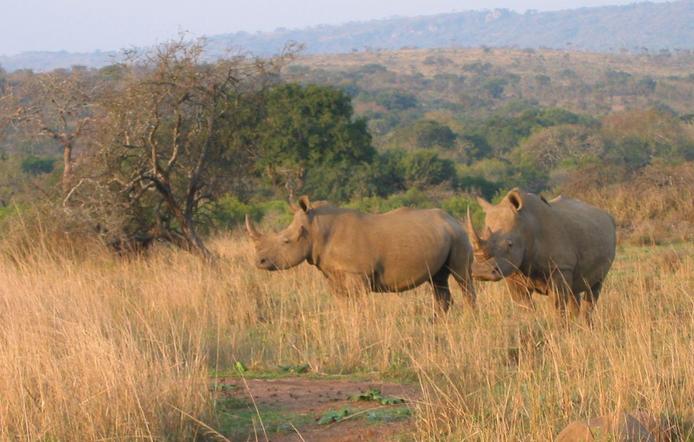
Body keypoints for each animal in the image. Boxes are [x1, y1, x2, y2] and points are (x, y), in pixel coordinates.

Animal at [245, 197, 478, 310]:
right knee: (438, 281)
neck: (316, 229)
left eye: (286, 241)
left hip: (459, 236)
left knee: (462, 278)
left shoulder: (358, 275)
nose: (259, 262)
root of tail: (453, 219)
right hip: (443, 236)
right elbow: (342, 304)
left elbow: (360, 306)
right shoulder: (333, 274)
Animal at [470, 187, 616, 322]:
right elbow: (523, 305)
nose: (481, 272)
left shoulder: (559, 267)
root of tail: (607, 215)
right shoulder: (513, 271)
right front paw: (529, 323)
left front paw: (559, 328)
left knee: (594, 287)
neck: (526, 226)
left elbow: (557, 305)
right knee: (574, 290)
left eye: (510, 244)